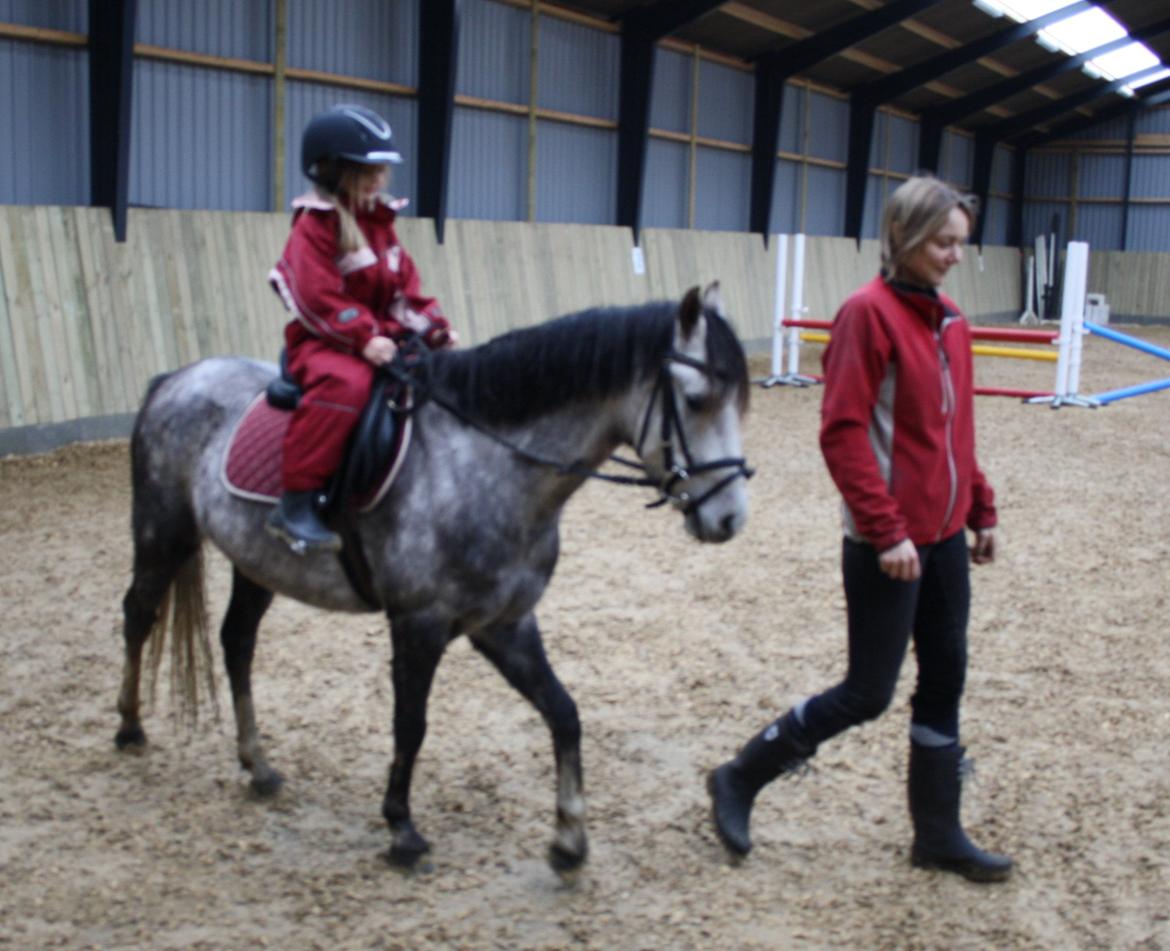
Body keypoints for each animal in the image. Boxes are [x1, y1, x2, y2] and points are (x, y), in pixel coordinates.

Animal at [115, 282, 752, 875]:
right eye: (695, 400)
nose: (729, 519)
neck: (488, 466)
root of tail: (177, 378)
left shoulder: (504, 624)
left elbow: (564, 713)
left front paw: (569, 838)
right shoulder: (418, 623)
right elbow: (410, 724)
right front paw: (401, 828)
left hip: (255, 562)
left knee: (237, 642)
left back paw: (258, 765)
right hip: (163, 533)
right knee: (139, 616)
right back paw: (129, 727)